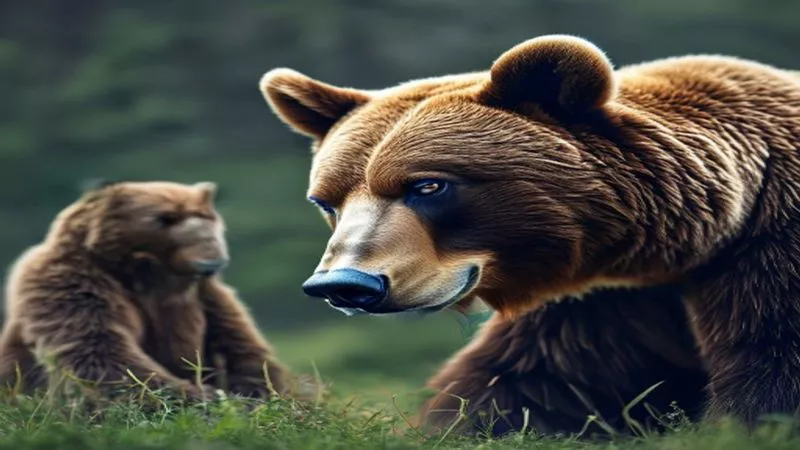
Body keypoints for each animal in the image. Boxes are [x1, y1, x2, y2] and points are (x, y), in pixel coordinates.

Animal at [0, 180, 293, 402]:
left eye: (207, 217)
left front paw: (254, 393)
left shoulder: (207, 297)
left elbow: (239, 348)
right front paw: (204, 397)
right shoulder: (75, 283)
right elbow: (101, 349)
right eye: (166, 218)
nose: (211, 259)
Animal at [258, 33, 800, 436]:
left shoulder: (768, 260)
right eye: (327, 201)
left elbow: (770, 374)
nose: (345, 283)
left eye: (428, 185)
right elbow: (527, 381)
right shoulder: (601, 302)